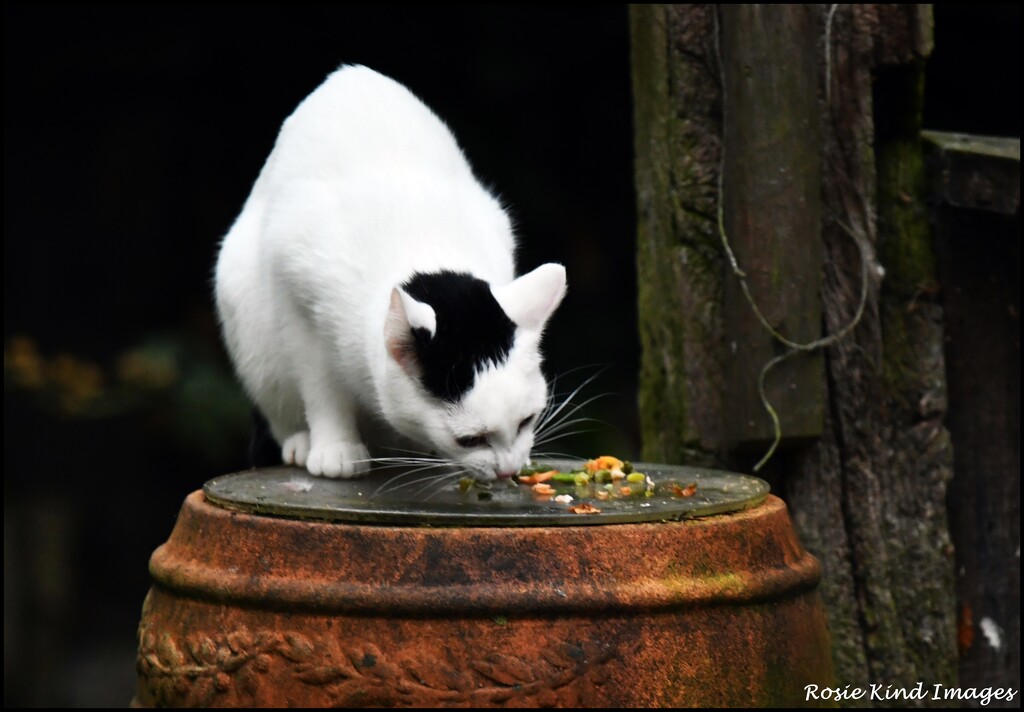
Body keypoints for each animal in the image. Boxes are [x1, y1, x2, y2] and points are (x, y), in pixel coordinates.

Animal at [217, 65, 569, 485]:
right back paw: (301, 442)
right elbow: (322, 389)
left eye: (526, 421)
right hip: (245, 310)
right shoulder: (298, 306)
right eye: (470, 440)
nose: (508, 470)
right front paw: (336, 447)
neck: (426, 244)